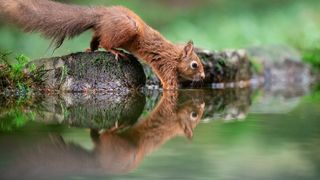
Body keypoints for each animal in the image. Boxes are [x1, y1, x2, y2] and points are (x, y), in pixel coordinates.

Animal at [0, 0, 205, 89]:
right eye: (195, 64)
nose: (203, 77)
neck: (174, 54)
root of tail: (102, 14)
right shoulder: (165, 65)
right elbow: (170, 84)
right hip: (127, 28)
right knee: (106, 42)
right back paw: (115, 51)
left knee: (96, 36)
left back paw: (91, 48)